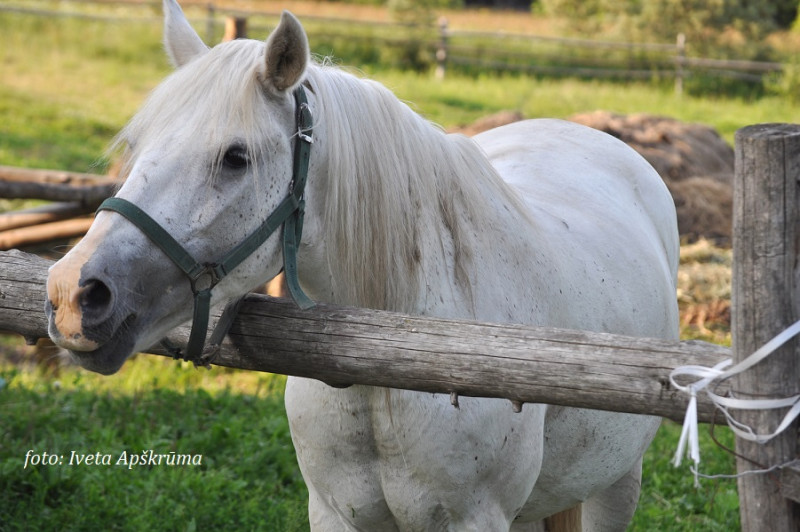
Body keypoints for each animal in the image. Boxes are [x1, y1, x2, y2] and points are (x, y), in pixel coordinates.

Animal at [47, 2, 680, 528]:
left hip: (616, 483)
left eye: (235, 157)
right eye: (138, 145)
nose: (72, 294)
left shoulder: (475, 519)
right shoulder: (334, 513)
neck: (387, 359)